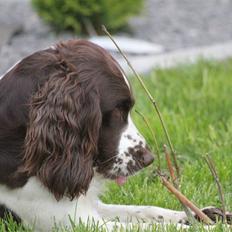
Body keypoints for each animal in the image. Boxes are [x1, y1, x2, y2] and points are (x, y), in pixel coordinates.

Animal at [0, 40, 221, 230]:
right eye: (117, 110)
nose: (149, 159)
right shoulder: (73, 221)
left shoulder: (90, 207)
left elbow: (146, 211)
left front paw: (204, 215)